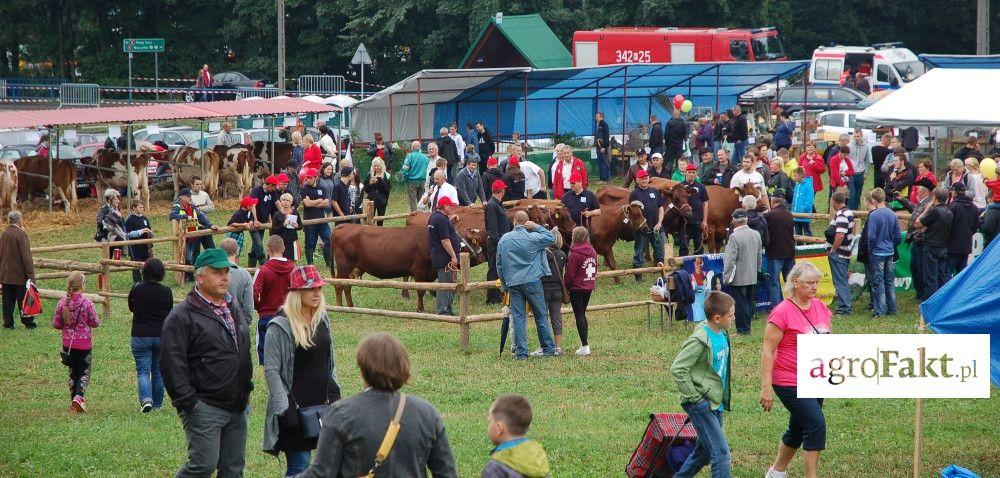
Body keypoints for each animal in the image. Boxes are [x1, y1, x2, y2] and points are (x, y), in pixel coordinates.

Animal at [330, 225, 486, 314]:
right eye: (474, 241)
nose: (482, 256)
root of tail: (344, 226)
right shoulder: (419, 271)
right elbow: (421, 291)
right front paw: (420, 309)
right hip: (343, 266)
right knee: (339, 285)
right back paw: (339, 307)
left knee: (347, 286)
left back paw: (350, 307)